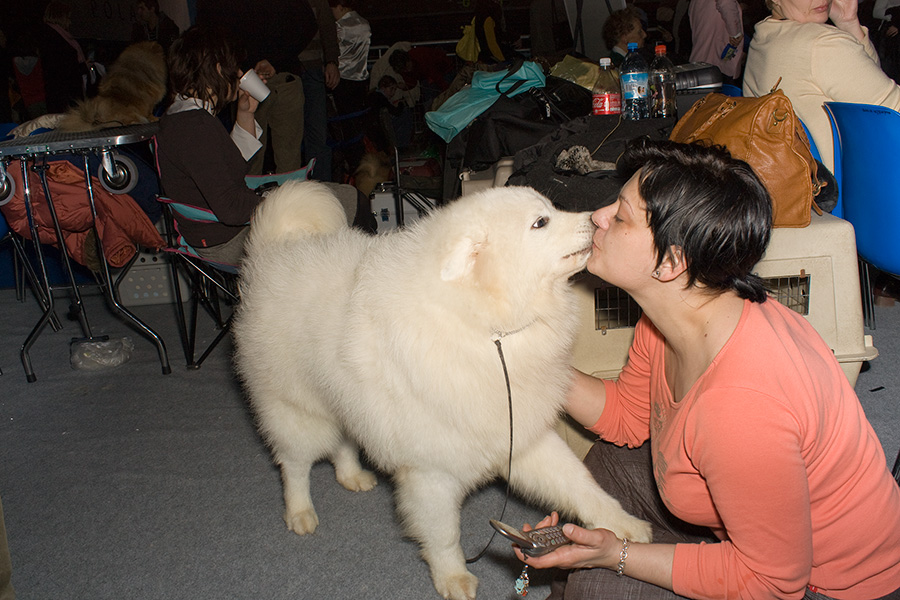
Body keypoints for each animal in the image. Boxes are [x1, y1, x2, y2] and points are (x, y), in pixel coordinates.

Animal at [236, 182, 652, 600]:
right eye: (541, 222)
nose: (596, 219)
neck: (488, 330)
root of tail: (273, 252)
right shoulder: (430, 473)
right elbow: (444, 534)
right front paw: (452, 578)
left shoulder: (522, 436)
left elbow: (579, 484)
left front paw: (623, 525)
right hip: (298, 410)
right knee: (293, 465)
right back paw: (299, 512)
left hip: (345, 403)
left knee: (343, 443)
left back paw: (352, 477)